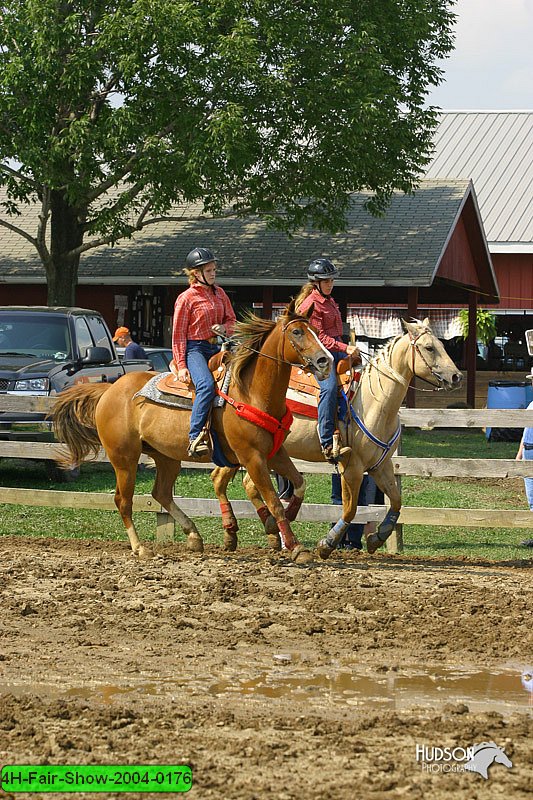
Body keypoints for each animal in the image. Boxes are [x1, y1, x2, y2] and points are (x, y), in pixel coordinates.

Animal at [51, 302, 332, 564]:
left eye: (316, 331)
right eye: (297, 332)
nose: (325, 361)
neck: (250, 392)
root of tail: (109, 390)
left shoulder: (275, 452)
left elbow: (299, 484)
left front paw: (287, 520)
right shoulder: (252, 457)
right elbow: (274, 501)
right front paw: (296, 547)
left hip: (166, 457)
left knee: (161, 493)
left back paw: (194, 536)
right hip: (124, 458)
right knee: (123, 500)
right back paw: (140, 548)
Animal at [212, 318, 462, 556]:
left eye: (442, 345)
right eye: (429, 347)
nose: (456, 376)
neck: (374, 400)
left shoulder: (380, 466)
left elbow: (396, 502)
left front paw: (377, 537)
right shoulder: (351, 467)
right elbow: (350, 509)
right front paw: (327, 543)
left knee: (241, 483)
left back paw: (264, 534)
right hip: (245, 451)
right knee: (223, 480)